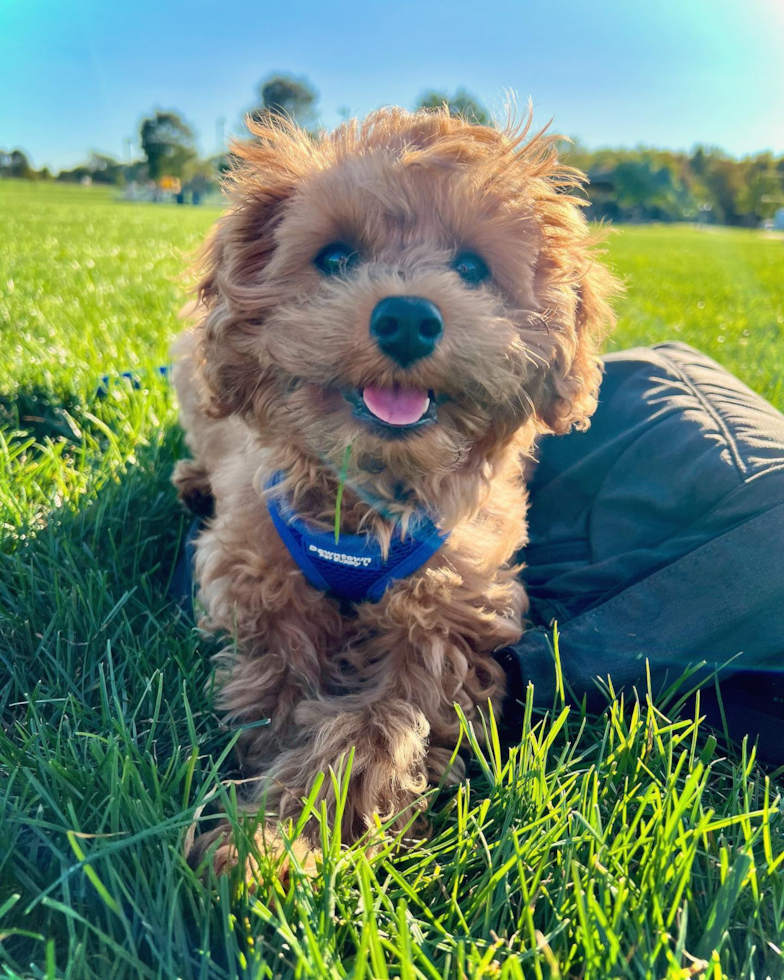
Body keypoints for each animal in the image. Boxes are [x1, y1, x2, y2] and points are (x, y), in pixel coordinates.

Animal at [173, 105, 620, 872]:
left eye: (472, 268)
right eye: (333, 258)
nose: (407, 317)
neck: (368, 497)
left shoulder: (450, 615)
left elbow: (381, 724)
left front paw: (281, 841)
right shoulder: (254, 574)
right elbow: (281, 679)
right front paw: (269, 823)